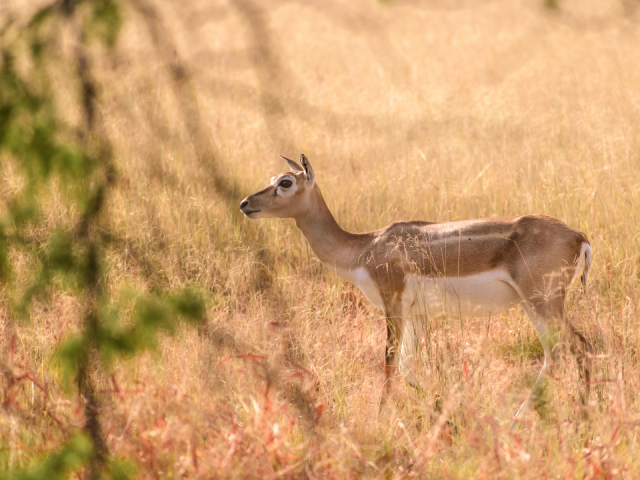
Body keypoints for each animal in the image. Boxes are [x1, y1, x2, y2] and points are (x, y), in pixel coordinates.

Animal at [240, 155, 596, 420]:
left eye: (286, 183)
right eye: (273, 178)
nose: (245, 203)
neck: (364, 248)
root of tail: (579, 236)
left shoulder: (392, 304)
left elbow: (388, 362)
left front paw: (380, 418)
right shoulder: (417, 314)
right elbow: (407, 366)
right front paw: (445, 410)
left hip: (542, 301)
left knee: (579, 346)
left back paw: (573, 414)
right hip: (532, 304)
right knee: (556, 353)